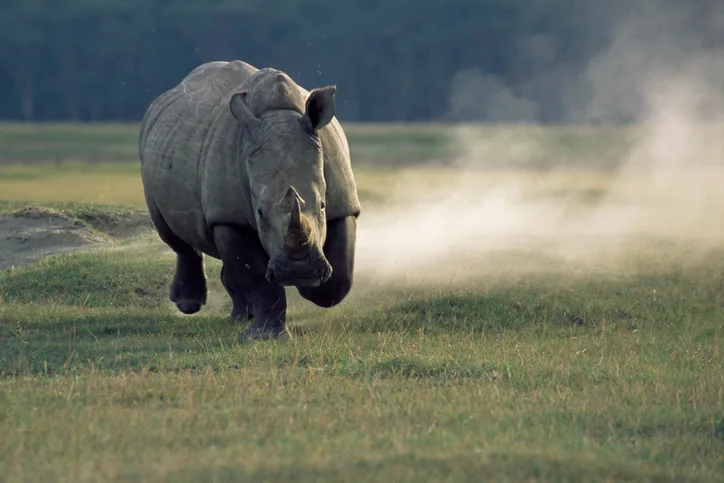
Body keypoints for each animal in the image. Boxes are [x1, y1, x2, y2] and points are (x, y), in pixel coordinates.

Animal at [138, 60, 361, 342]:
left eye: (323, 205)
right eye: (260, 213)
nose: (298, 270)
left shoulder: (343, 203)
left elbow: (341, 275)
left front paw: (311, 287)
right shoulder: (228, 216)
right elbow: (256, 278)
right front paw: (265, 337)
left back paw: (241, 316)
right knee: (173, 235)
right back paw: (189, 305)